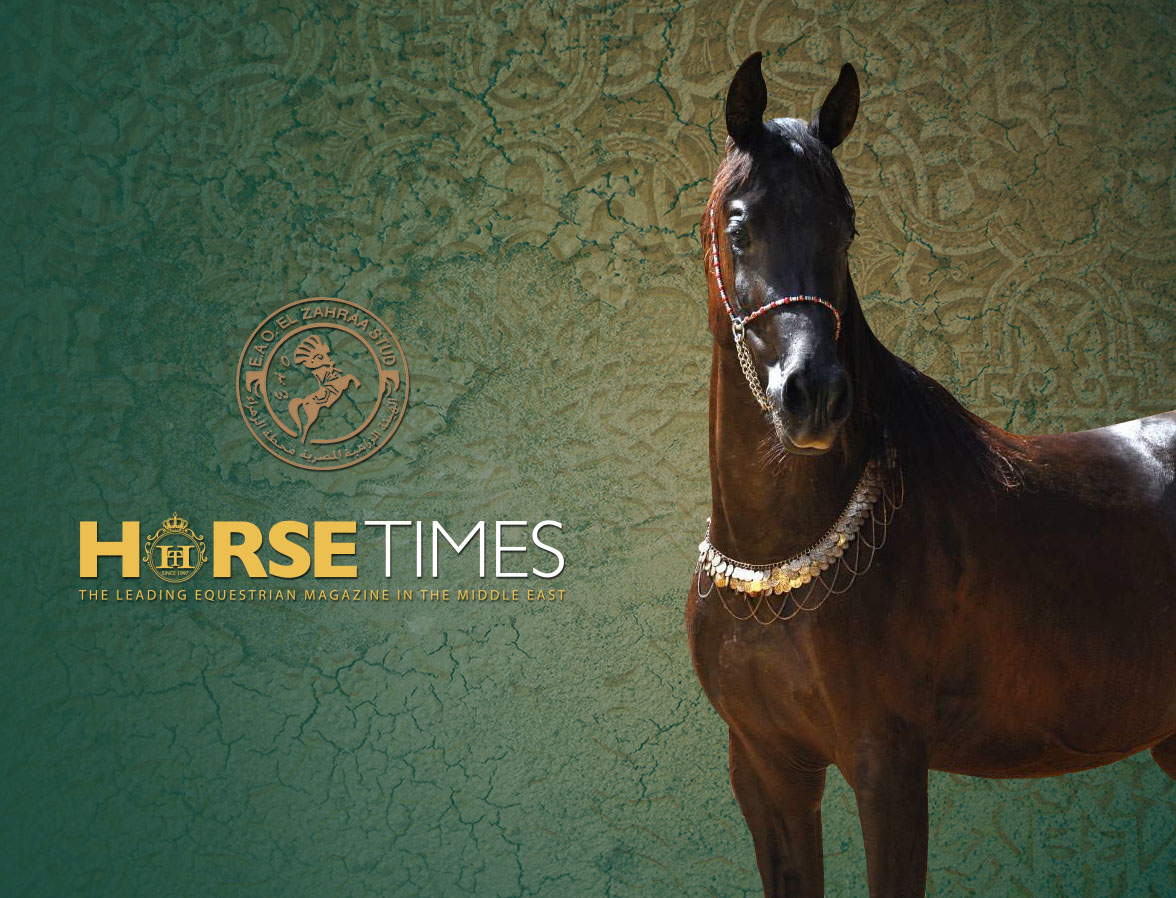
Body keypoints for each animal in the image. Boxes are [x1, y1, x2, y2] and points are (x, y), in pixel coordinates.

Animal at [685, 52, 1176, 897]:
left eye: (846, 226)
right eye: (739, 224)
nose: (814, 395)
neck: (778, 568)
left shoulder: (888, 766)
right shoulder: (768, 771)